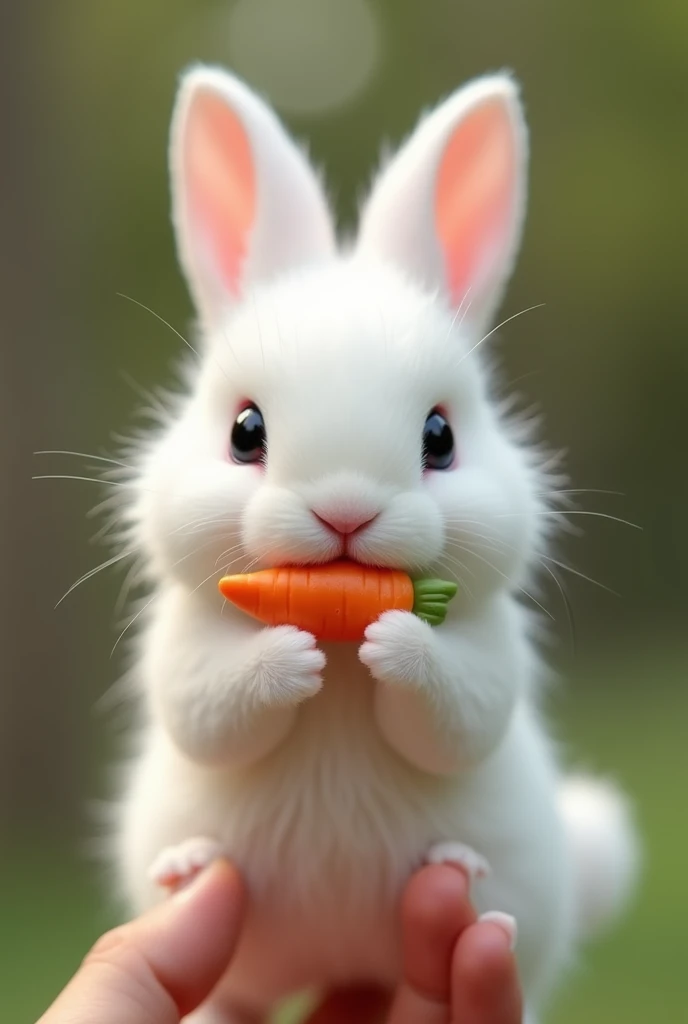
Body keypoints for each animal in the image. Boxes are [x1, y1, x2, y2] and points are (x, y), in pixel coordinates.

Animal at [109, 66, 638, 1024]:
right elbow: (209, 710)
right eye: (244, 431)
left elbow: (456, 714)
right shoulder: (183, 651)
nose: (345, 510)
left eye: (441, 437)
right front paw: (287, 655)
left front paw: (397, 643)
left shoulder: (489, 656)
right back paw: (190, 867)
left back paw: (458, 868)